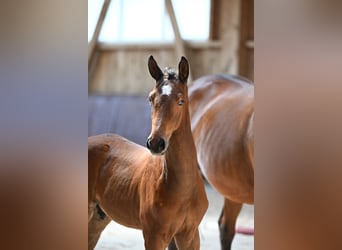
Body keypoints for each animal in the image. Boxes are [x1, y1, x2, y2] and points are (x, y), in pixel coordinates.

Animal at [87, 56, 208, 250]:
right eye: (150, 99)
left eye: (181, 101)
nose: (156, 143)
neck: (182, 188)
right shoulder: (154, 236)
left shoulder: (190, 235)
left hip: (98, 219)